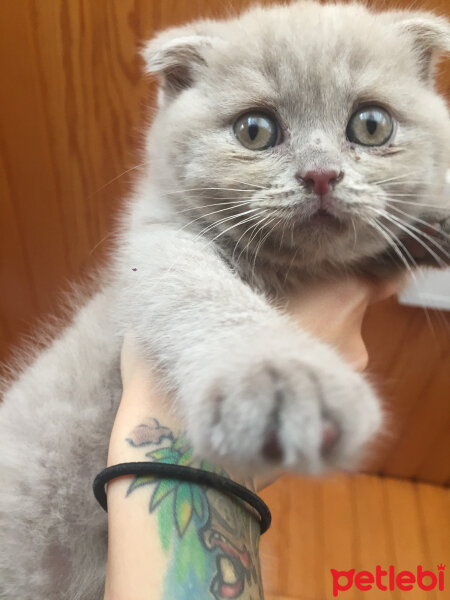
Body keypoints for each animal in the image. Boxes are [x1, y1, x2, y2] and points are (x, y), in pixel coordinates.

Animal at [0, 1, 450, 600]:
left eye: (371, 124)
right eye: (255, 131)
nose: (321, 174)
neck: (291, 270)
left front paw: (435, 219)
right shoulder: (157, 246)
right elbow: (204, 294)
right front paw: (282, 381)